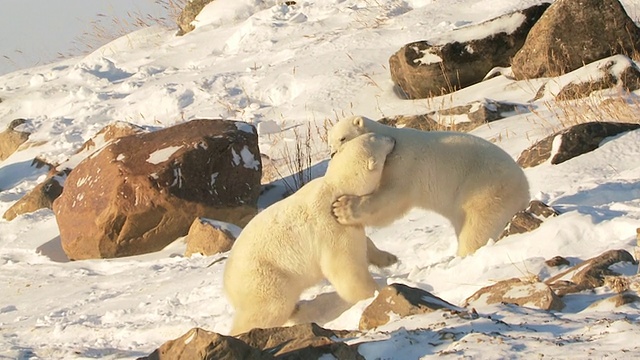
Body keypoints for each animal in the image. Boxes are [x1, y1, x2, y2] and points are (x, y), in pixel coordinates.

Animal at [224, 132, 396, 334]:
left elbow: (364, 243)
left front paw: (389, 258)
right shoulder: (332, 227)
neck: (336, 188)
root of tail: (227, 283)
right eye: (375, 138)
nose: (392, 137)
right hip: (263, 276)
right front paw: (375, 292)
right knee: (269, 307)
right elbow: (346, 269)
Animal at [328, 115, 528, 256]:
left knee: (477, 228)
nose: (332, 154)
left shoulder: (404, 164)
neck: (392, 141)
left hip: (485, 191)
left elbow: (393, 198)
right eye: (330, 142)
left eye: (343, 138)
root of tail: (525, 188)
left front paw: (342, 209)